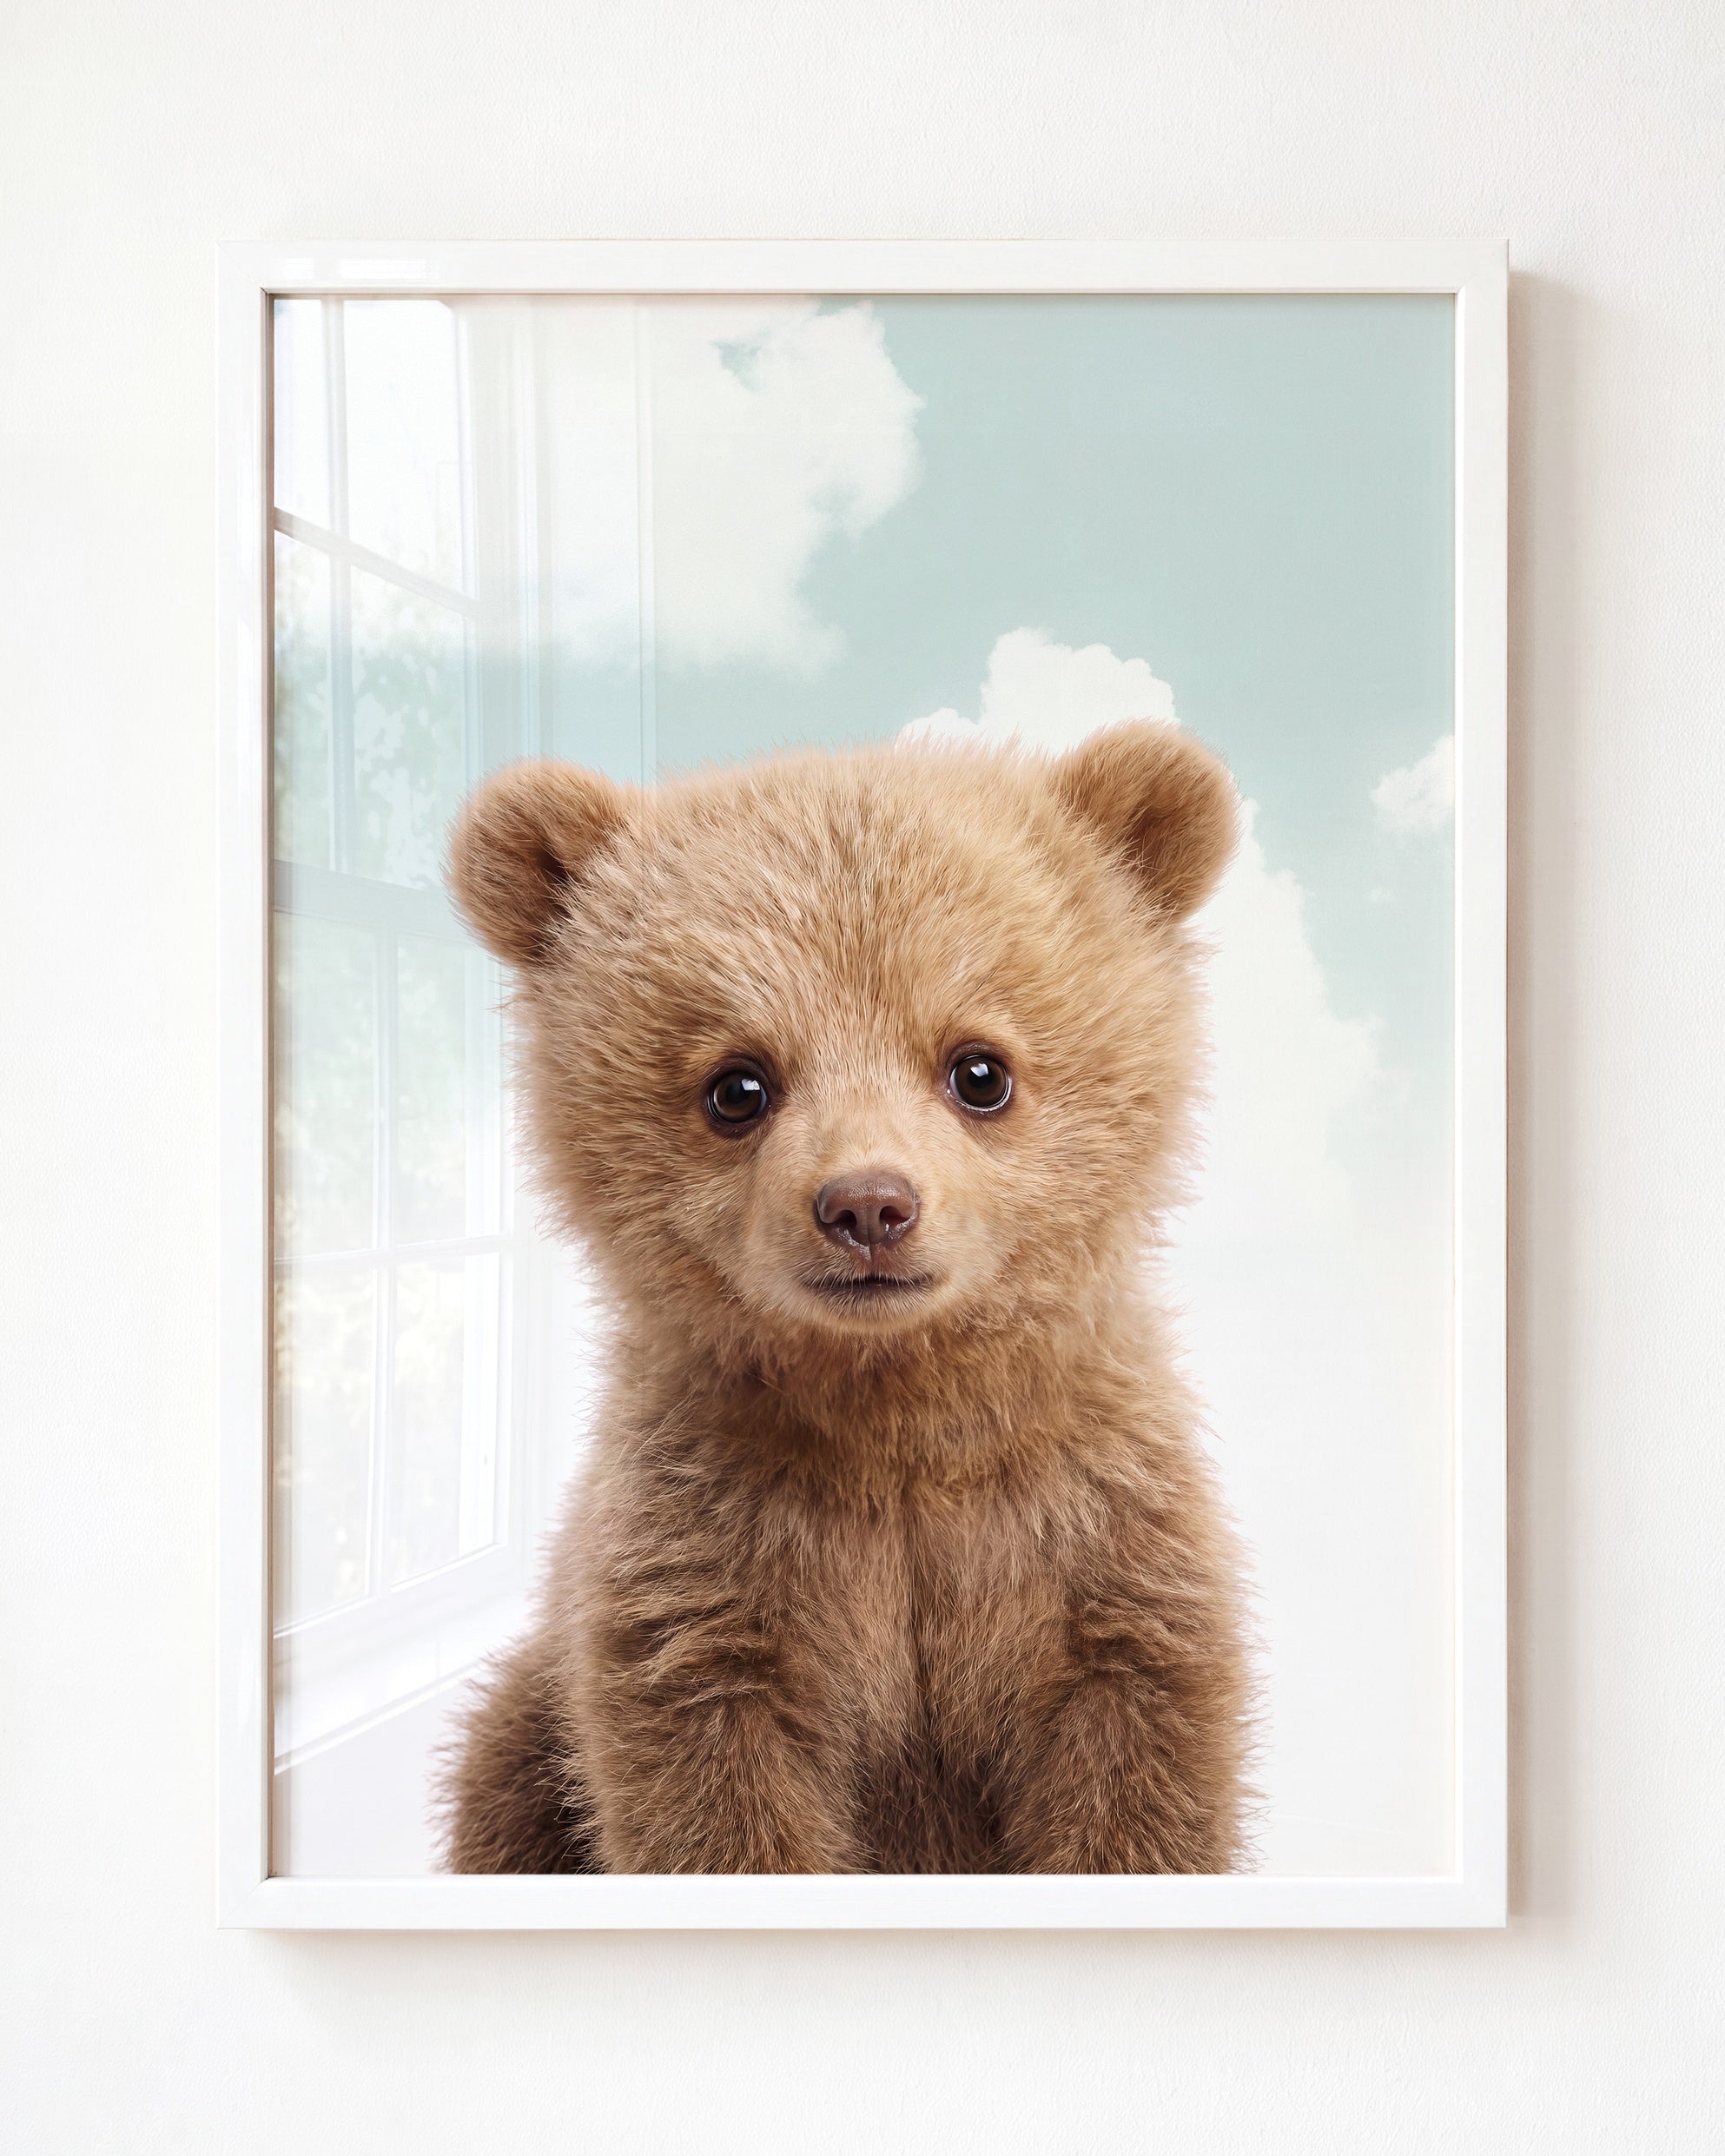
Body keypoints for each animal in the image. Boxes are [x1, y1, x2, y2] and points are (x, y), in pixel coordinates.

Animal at [437, 721, 1256, 1875]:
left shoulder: (1094, 1546)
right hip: (528, 1730)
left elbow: (1137, 1782)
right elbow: (715, 1799)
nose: (868, 1204)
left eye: (980, 1069)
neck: (896, 1415)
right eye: (738, 1085)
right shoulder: (709, 1574)